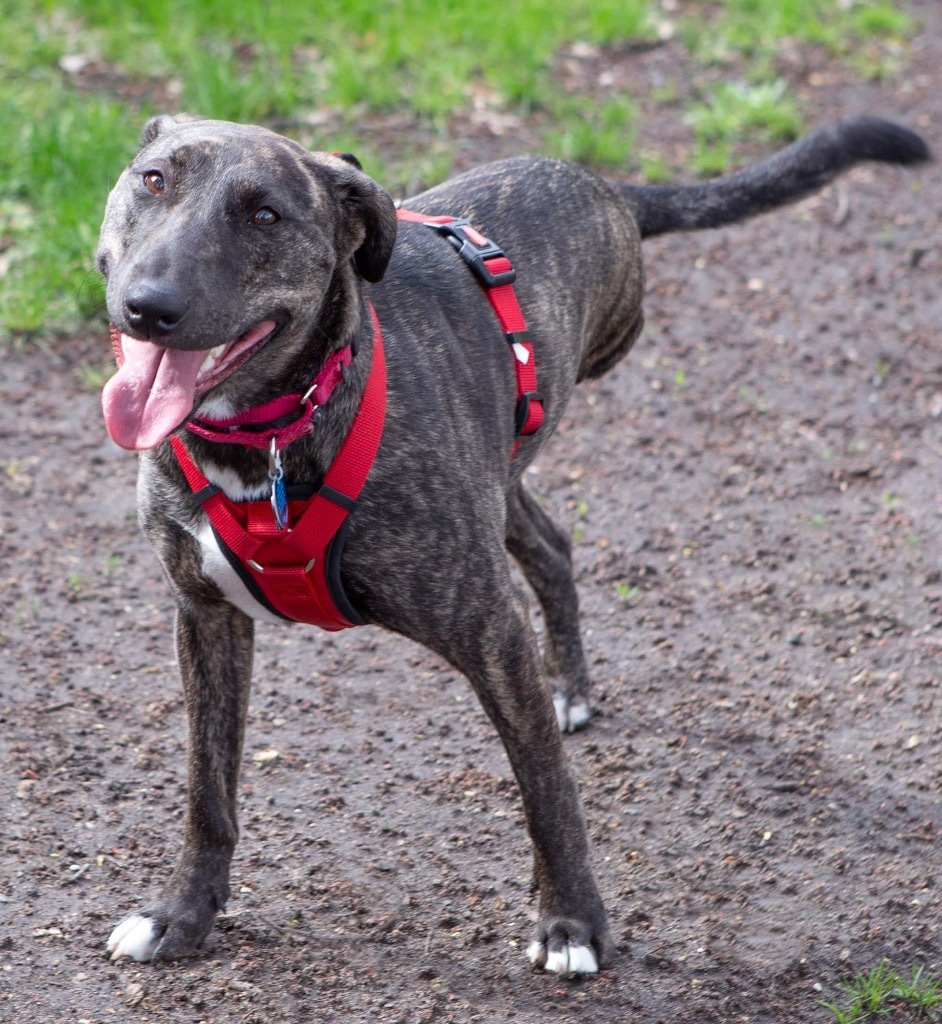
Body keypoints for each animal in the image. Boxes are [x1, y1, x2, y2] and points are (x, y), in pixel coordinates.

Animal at [97, 116, 925, 970]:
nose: (149, 307)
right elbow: (208, 791)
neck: (264, 436)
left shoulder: (491, 633)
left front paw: (572, 924)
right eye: (154, 180)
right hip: (499, 482)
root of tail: (601, 184)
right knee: (551, 545)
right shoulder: (206, 620)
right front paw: (181, 915)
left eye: (264, 214)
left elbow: (547, 791)